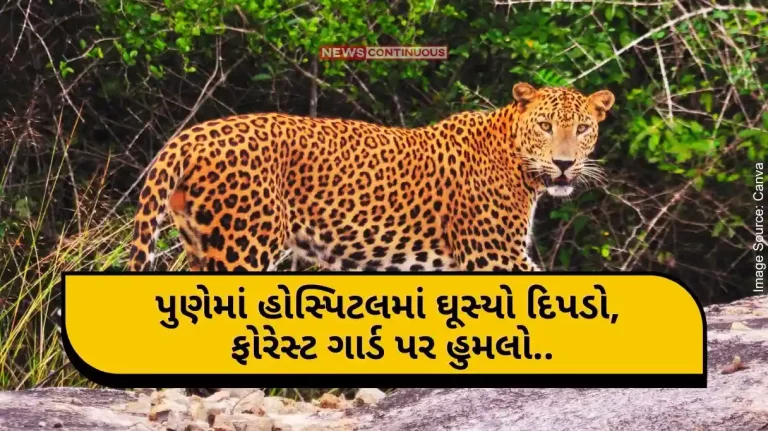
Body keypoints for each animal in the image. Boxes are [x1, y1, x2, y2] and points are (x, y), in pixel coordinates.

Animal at [126, 82, 614, 274]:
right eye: (546, 126)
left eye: (583, 128)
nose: (564, 164)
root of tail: (192, 134)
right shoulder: (495, 256)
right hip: (244, 245)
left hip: (199, 243)